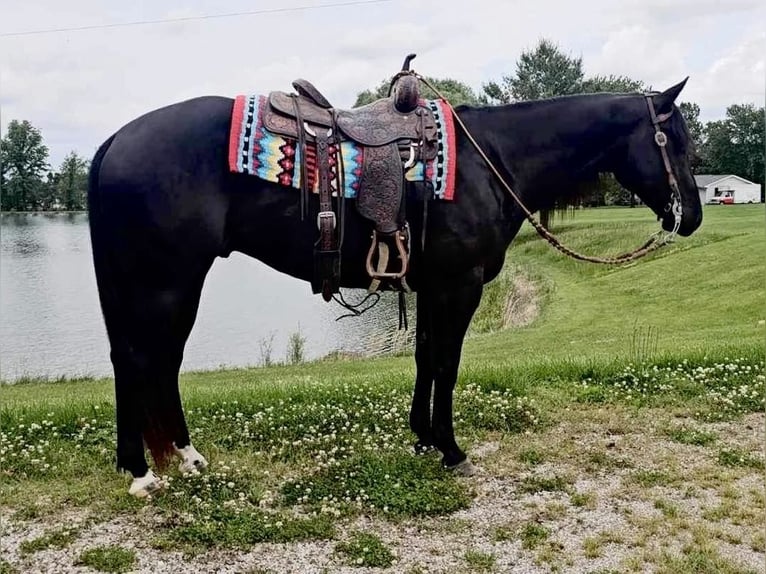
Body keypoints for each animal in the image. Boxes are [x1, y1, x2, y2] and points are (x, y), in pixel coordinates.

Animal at [87, 74, 702, 497]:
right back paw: (142, 472)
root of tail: (115, 139)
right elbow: (447, 364)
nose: (692, 216)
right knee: (143, 360)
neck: (491, 158)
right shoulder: (459, 285)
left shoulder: (431, 287)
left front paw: (423, 438)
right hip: (165, 283)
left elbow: (426, 358)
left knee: (149, 361)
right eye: (673, 139)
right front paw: (451, 449)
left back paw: (179, 458)